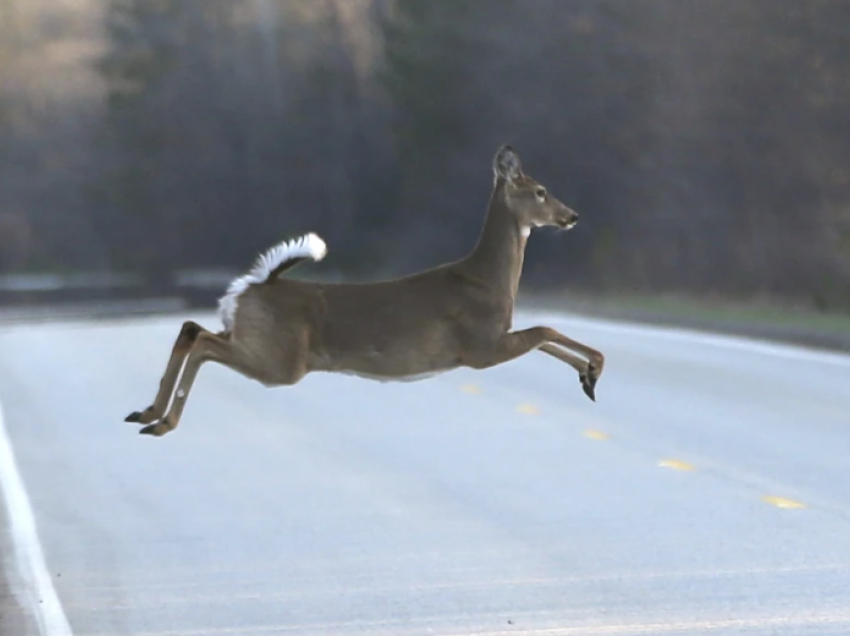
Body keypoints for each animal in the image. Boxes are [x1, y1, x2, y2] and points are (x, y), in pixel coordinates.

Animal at [124, 145, 604, 438]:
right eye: (540, 191)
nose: (573, 216)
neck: (488, 279)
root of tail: (255, 285)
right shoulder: (480, 346)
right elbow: (545, 330)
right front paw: (594, 369)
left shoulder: (494, 340)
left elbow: (544, 337)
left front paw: (587, 377)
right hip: (282, 360)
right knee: (203, 342)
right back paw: (161, 422)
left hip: (254, 338)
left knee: (192, 328)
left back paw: (145, 413)